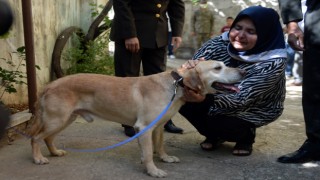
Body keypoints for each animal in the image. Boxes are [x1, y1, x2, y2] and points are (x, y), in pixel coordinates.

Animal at [28, 60, 245, 177]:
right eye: (217, 68)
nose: (243, 70)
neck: (177, 85)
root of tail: (49, 85)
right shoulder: (144, 127)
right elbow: (148, 153)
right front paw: (153, 170)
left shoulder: (158, 127)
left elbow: (159, 146)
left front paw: (164, 158)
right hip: (57, 119)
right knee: (35, 138)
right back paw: (38, 158)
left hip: (64, 119)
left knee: (48, 138)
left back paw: (54, 152)